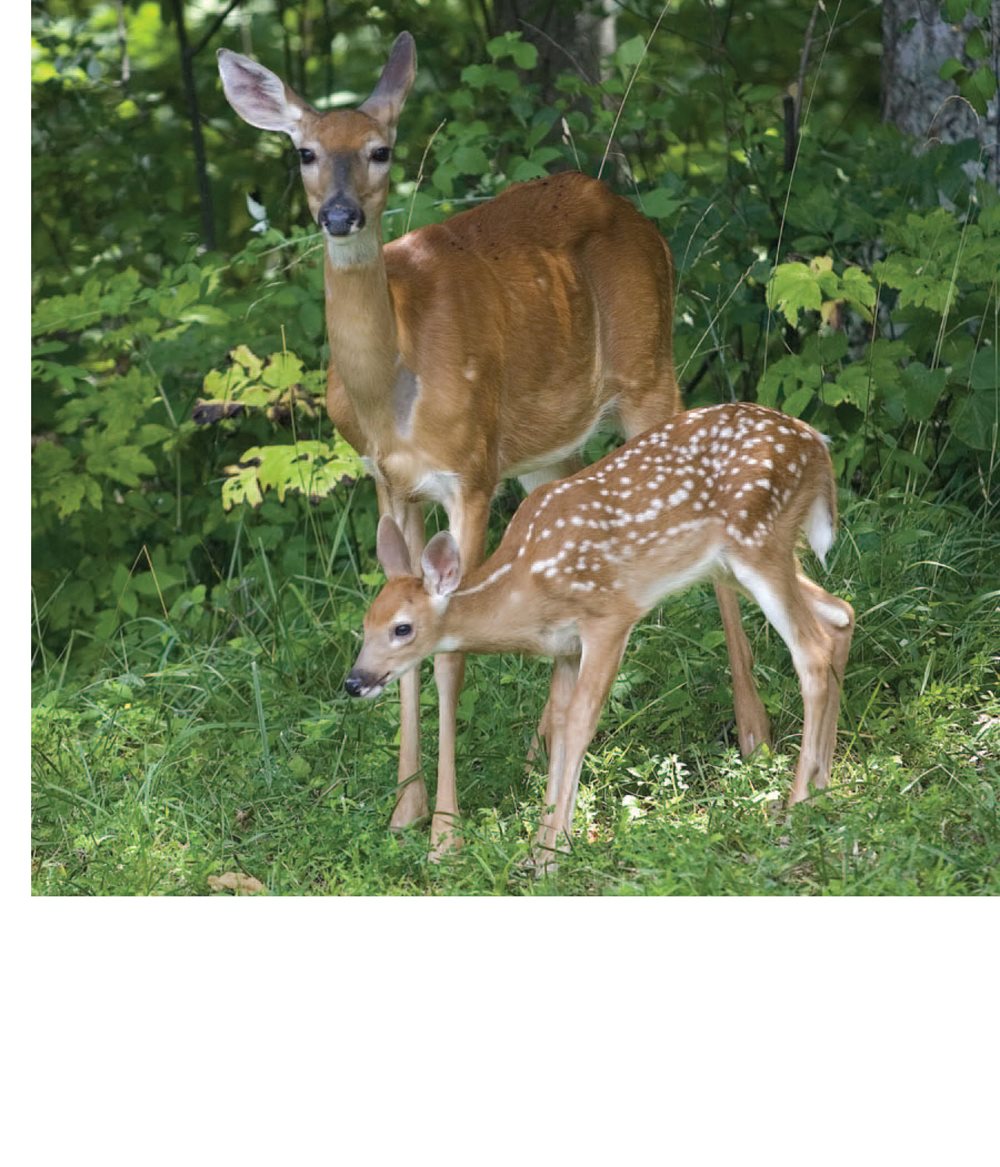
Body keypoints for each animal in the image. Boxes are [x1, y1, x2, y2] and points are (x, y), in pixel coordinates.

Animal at [214, 31, 770, 854]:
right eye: (305, 152)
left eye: (381, 150)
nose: (340, 215)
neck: (393, 390)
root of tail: (635, 214)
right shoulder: (389, 484)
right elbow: (408, 632)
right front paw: (403, 809)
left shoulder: (470, 474)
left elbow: (450, 655)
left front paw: (445, 830)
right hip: (549, 448)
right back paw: (546, 741)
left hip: (650, 371)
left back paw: (754, 730)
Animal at [347, 401, 854, 868]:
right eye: (365, 625)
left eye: (402, 628)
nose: (355, 681)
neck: (524, 583)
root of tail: (817, 444)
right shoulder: (565, 647)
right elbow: (559, 724)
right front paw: (543, 845)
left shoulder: (609, 615)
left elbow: (580, 722)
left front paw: (551, 855)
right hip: (741, 563)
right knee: (840, 616)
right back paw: (824, 790)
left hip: (758, 542)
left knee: (811, 651)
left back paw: (793, 811)